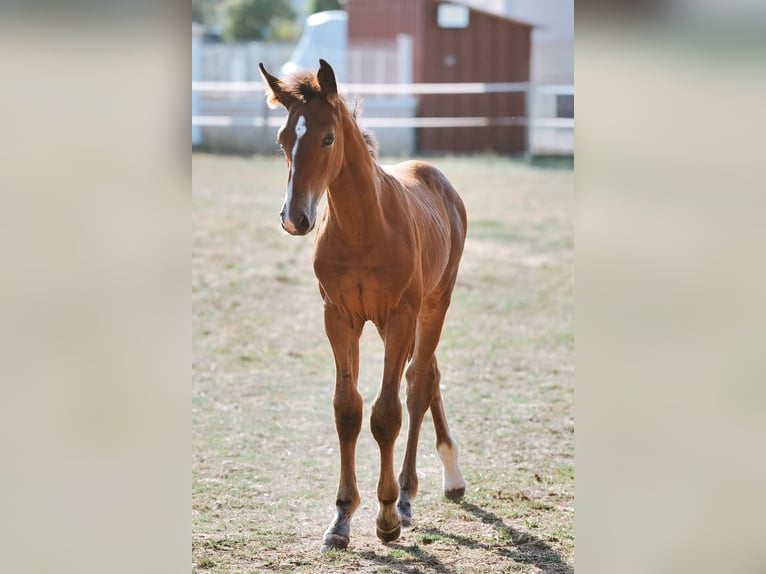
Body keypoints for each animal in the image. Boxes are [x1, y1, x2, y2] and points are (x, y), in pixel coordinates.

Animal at [258, 59, 467, 552]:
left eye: (328, 138)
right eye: (282, 139)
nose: (295, 218)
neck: (363, 228)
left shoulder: (400, 316)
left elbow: (387, 413)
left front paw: (387, 515)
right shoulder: (339, 317)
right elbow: (348, 410)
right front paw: (341, 518)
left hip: (433, 305)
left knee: (417, 385)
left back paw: (412, 494)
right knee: (429, 374)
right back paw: (447, 477)